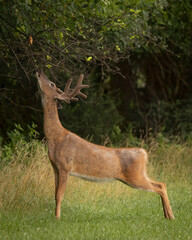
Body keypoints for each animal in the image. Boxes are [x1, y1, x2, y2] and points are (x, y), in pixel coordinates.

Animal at [36, 69, 176, 219]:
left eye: (52, 83)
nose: (39, 71)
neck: (56, 138)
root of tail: (143, 153)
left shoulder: (65, 166)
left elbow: (59, 196)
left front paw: (57, 218)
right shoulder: (55, 167)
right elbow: (55, 195)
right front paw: (55, 217)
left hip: (135, 176)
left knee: (160, 186)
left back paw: (171, 216)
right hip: (138, 175)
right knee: (161, 184)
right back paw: (168, 216)